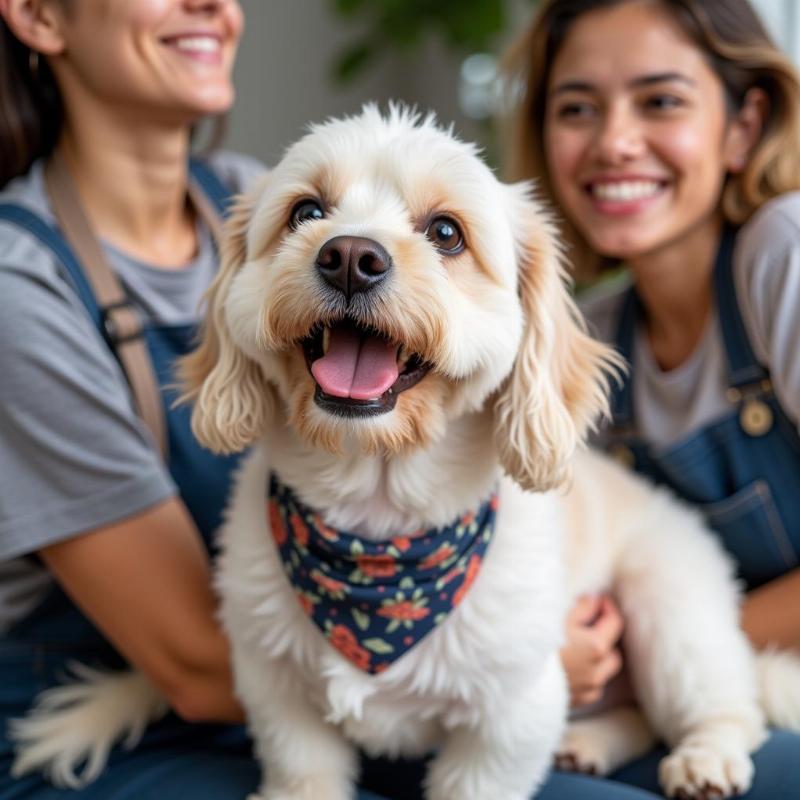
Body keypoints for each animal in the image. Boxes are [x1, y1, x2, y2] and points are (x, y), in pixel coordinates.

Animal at [9, 106, 796, 800]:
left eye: (446, 232)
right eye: (306, 212)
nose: (351, 257)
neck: (378, 531)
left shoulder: (509, 719)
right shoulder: (277, 693)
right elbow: (303, 773)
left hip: (671, 616)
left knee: (732, 710)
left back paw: (705, 757)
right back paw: (593, 743)